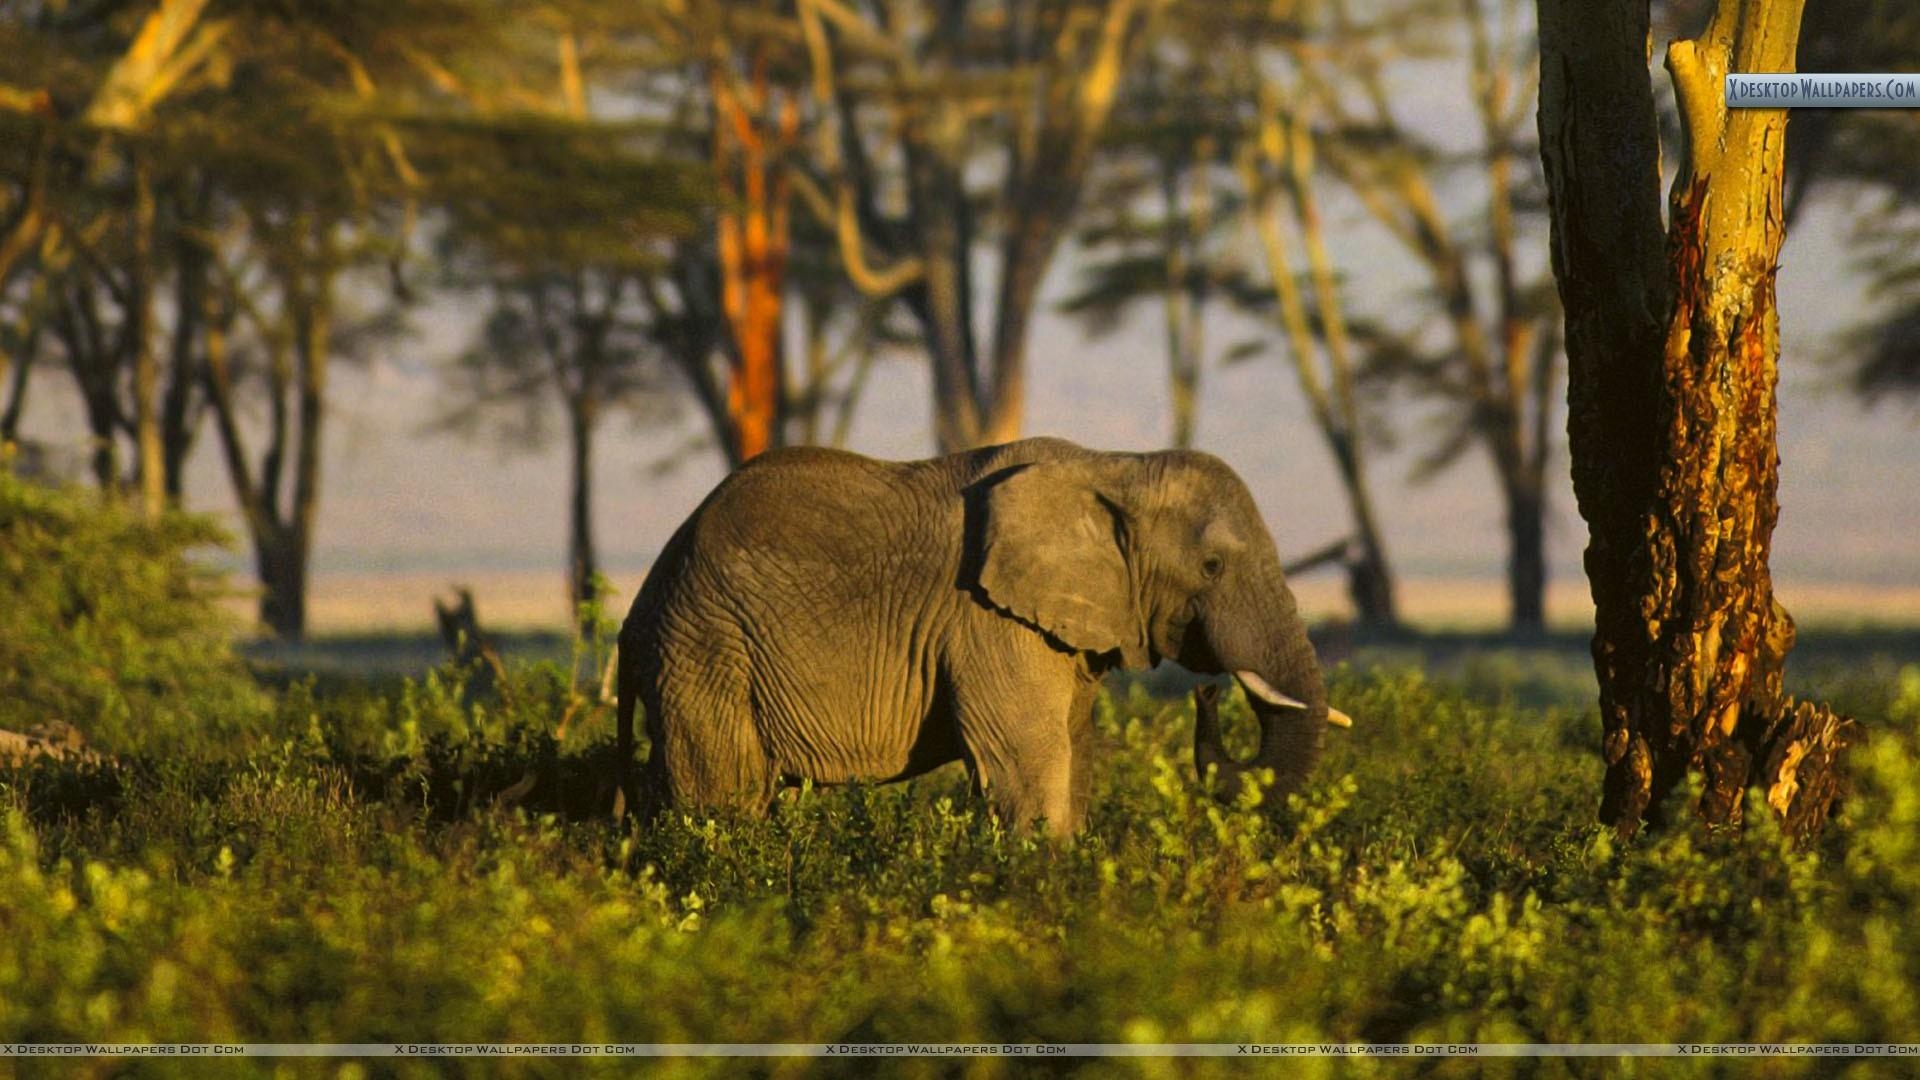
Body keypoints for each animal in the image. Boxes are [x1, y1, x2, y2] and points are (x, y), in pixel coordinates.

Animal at [614, 434, 1351, 834]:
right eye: (1213, 566)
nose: (1207, 694)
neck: (1115, 467)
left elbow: (1073, 759)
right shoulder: (989, 621)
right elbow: (1032, 768)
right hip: (706, 645)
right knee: (725, 797)